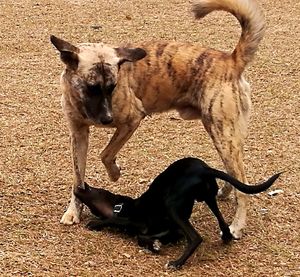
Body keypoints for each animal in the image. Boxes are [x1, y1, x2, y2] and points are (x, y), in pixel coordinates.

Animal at [50, 0, 266, 237]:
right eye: (92, 88)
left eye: (112, 86)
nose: (106, 119)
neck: (82, 103)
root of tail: (230, 60)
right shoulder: (78, 134)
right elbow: (78, 179)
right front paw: (73, 211)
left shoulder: (132, 120)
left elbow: (105, 154)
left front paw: (115, 174)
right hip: (224, 134)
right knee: (235, 173)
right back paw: (227, 194)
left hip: (222, 133)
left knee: (243, 184)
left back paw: (237, 225)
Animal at [74, 157, 280, 268]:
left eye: (94, 189)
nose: (78, 185)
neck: (123, 206)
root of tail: (203, 168)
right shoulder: (173, 231)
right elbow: (143, 237)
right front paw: (154, 245)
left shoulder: (135, 219)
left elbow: (117, 221)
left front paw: (95, 223)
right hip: (208, 197)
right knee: (222, 223)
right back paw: (227, 237)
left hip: (172, 204)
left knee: (195, 238)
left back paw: (177, 263)